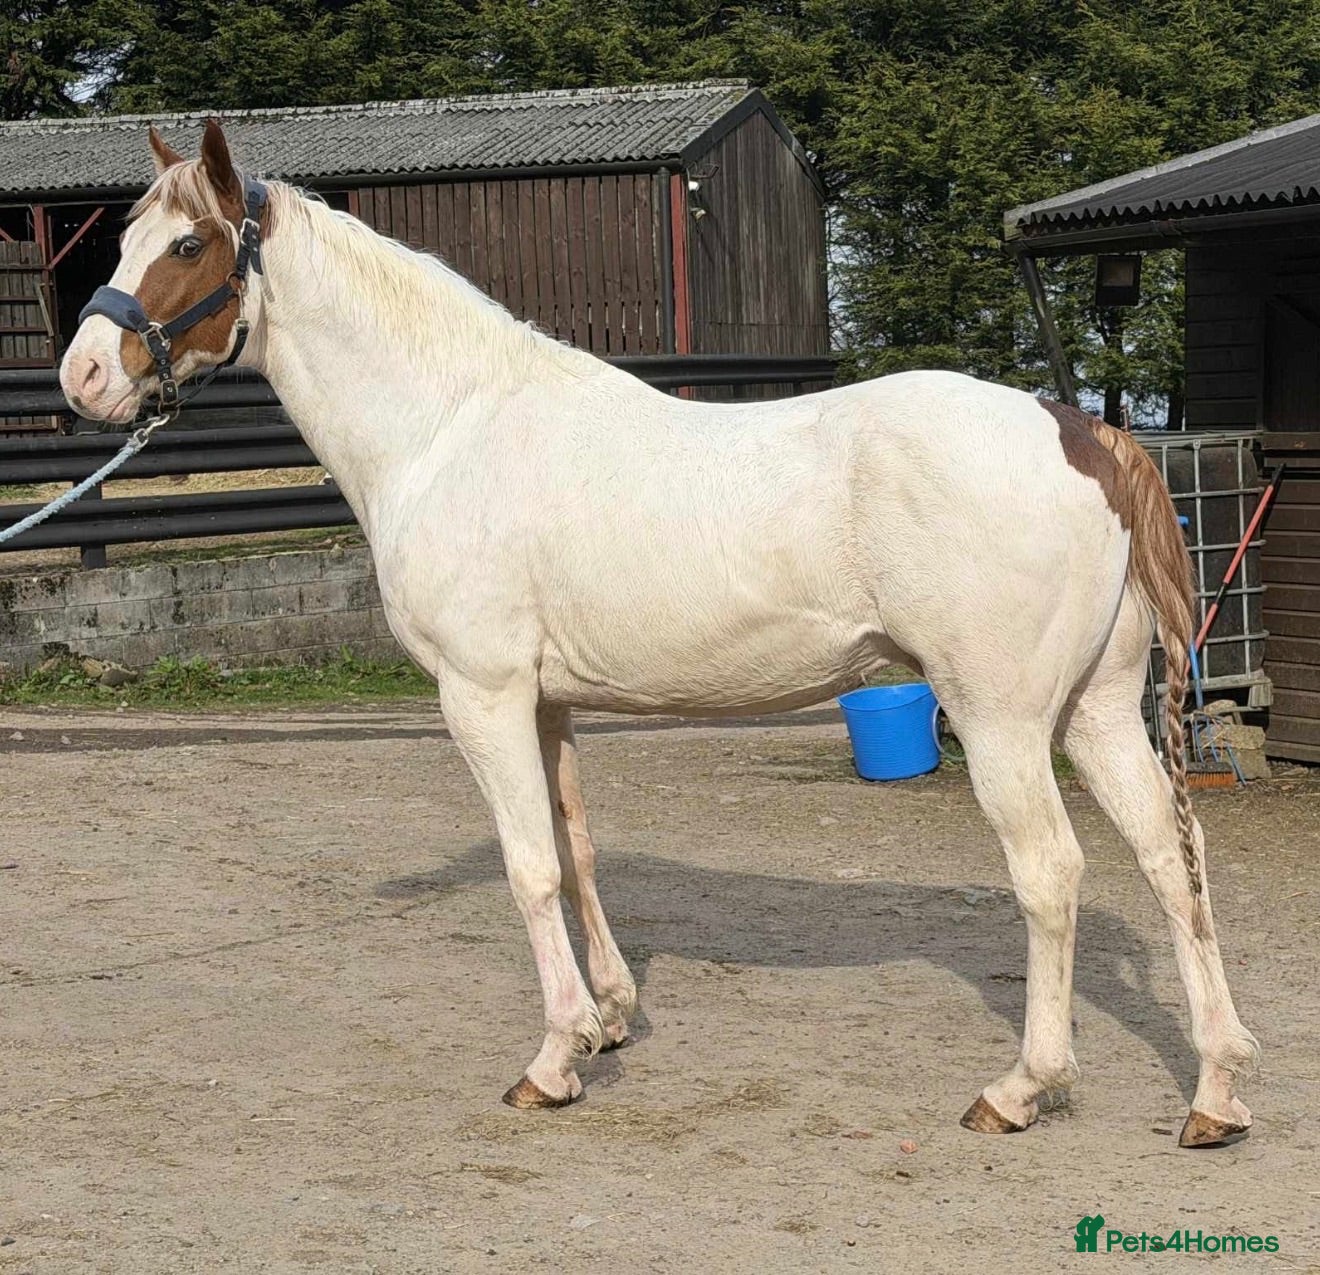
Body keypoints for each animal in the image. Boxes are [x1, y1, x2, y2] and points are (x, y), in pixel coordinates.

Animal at [60, 119, 1258, 1147]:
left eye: (186, 243)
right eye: (117, 240)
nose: (82, 377)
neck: (451, 426)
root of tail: (1083, 433)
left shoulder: (481, 694)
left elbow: (528, 868)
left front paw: (553, 1060)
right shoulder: (545, 701)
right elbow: (576, 849)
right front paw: (610, 1016)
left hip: (1003, 720)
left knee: (1053, 873)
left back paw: (1022, 1088)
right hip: (1097, 714)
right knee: (1172, 859)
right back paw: (1215, 1091)